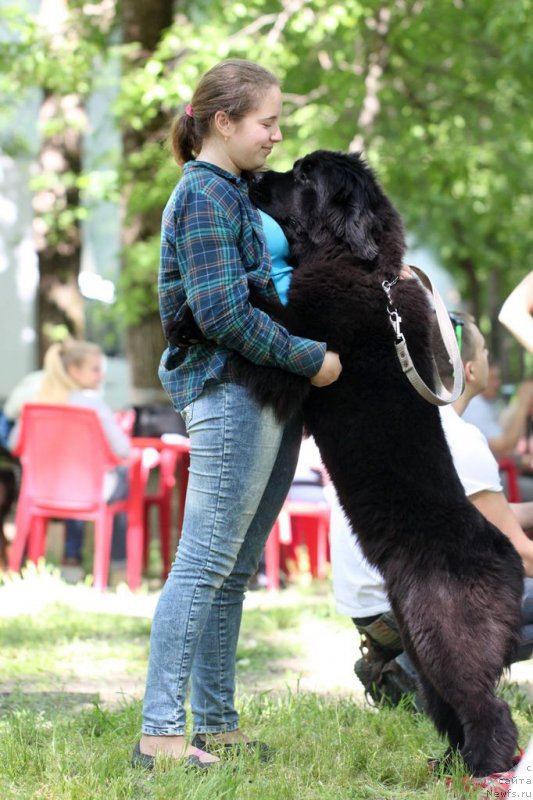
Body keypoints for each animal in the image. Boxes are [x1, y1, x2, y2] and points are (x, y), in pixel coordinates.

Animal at [168, 150, 520, 776]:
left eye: (305, 177)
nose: (256, 179)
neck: (361, 265)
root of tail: (510, 558)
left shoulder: (303, 348)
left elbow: (259, 309)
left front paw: (186, 314)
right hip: (420, 639)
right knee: (447, 704)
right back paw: (447, 765)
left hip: (447, 636)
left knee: (488, 708)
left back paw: (485, 768)